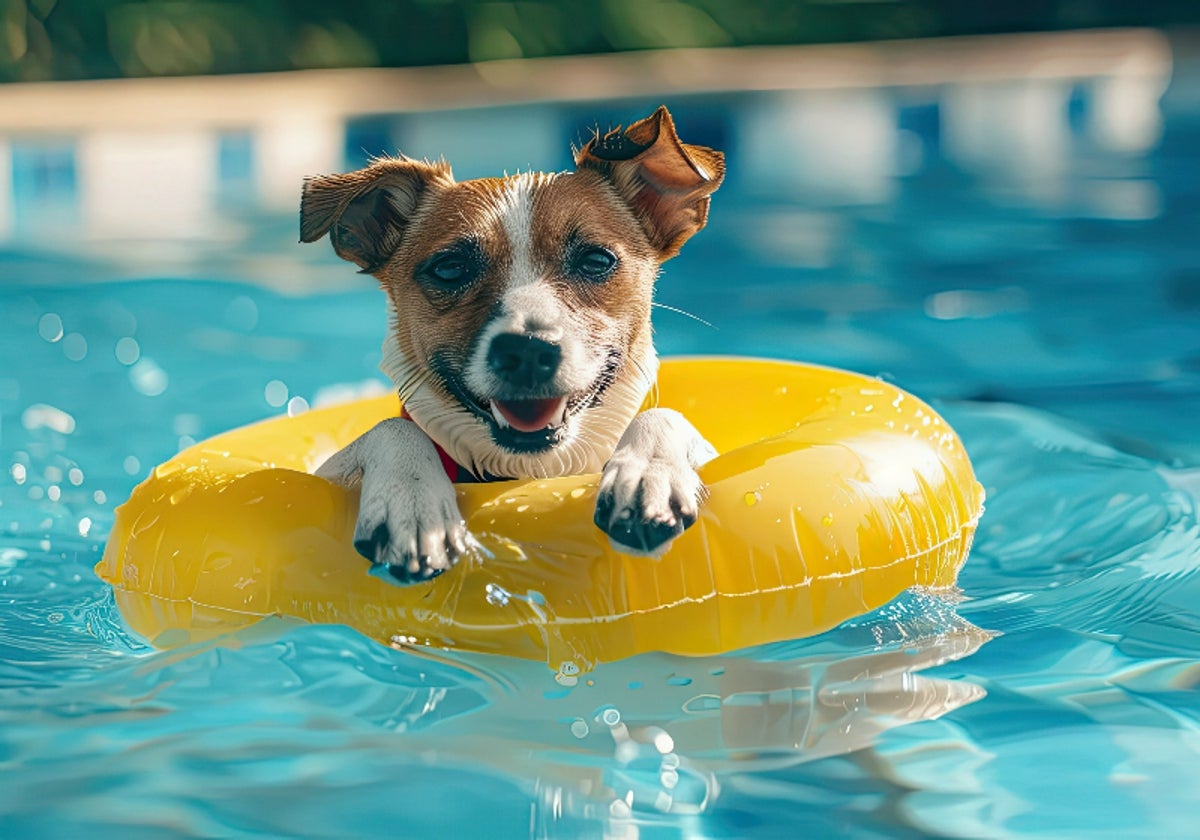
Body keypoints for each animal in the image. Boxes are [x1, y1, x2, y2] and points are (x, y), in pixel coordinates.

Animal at [304, 105, 724, 583]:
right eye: (450, 268)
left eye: (596, 259)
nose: (527, 351)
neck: (529, 473)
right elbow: (391, 427)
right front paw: (410, 498)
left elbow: (664, 414)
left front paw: (648, 474)